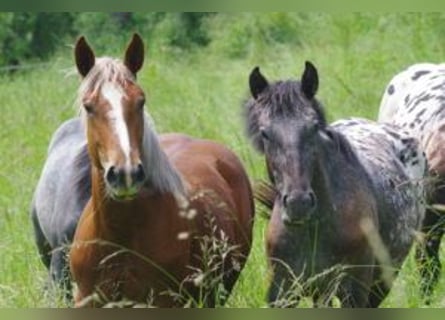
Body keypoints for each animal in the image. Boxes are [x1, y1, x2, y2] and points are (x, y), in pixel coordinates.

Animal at [246, 60, 426, 308]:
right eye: (265, 133)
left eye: (314, 127)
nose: (298, 203)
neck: (314, 228)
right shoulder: (282, 293)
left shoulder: (354, 291)